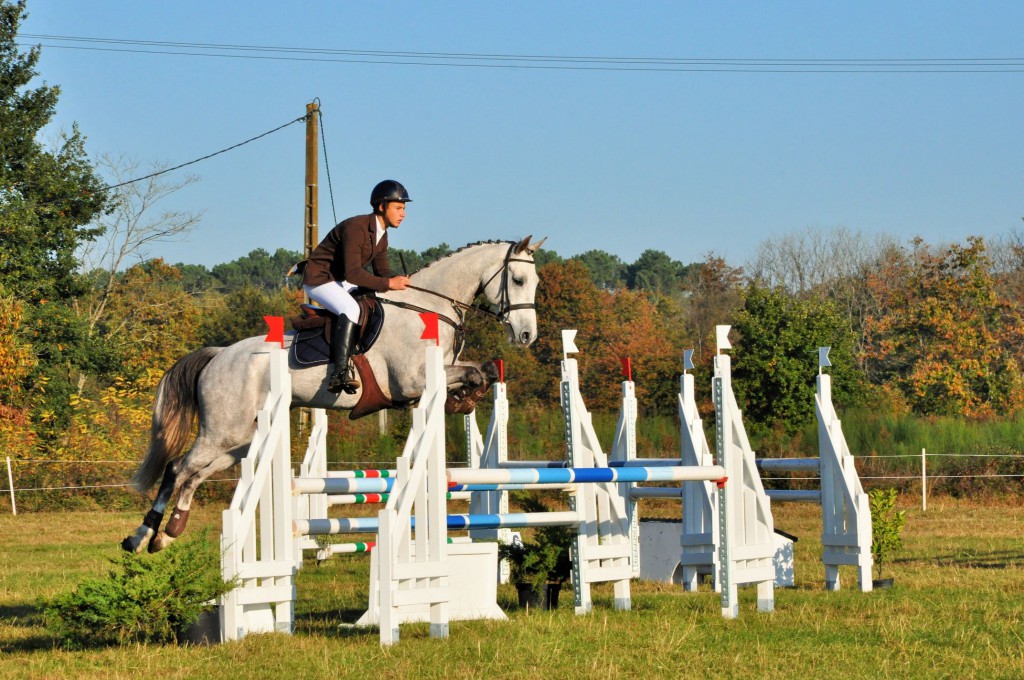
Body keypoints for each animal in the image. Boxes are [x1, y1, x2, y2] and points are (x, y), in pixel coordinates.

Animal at [121, 237, 544, 553]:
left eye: (536, 281)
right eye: (518, 279)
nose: (526, 336)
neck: (427, 308)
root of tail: (218, 356)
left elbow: (481, 371)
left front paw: (467, 398)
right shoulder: (413, 382)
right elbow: (471, 372)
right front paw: (467, 394)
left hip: (238, 442)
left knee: (192, 476)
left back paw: (169, 534)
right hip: (222, 432)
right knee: (177, 469)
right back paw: (141, 536)